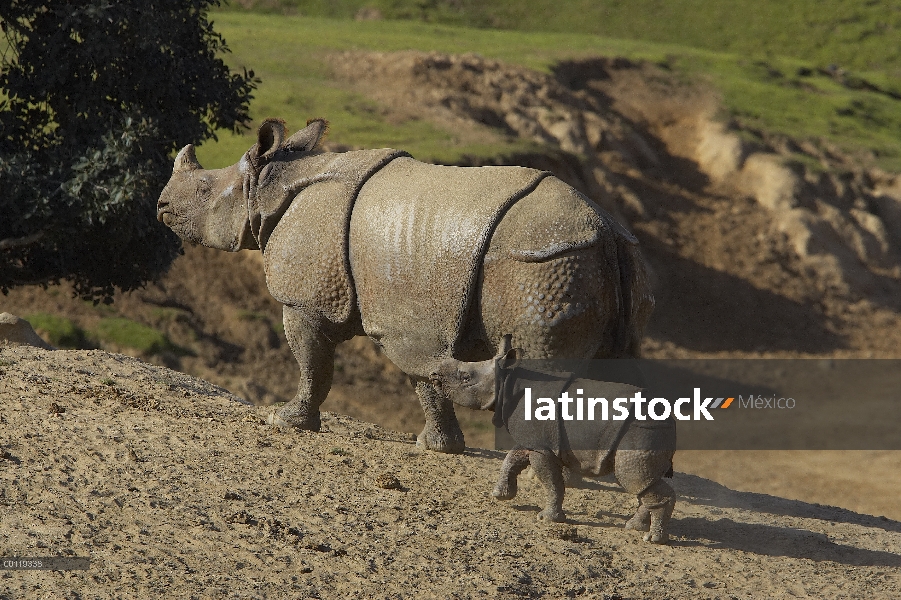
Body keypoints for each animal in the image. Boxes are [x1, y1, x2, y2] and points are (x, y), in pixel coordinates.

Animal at [156, 118, 652, 454]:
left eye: (203, 189)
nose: (160, 205)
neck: (268, 186)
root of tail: (605, 230)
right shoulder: (410, 318)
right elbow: (426, 377)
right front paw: (438, 447)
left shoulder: (308, 300)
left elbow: (313, 361)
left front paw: (285, 420)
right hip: (603, 260)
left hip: (543, 264)